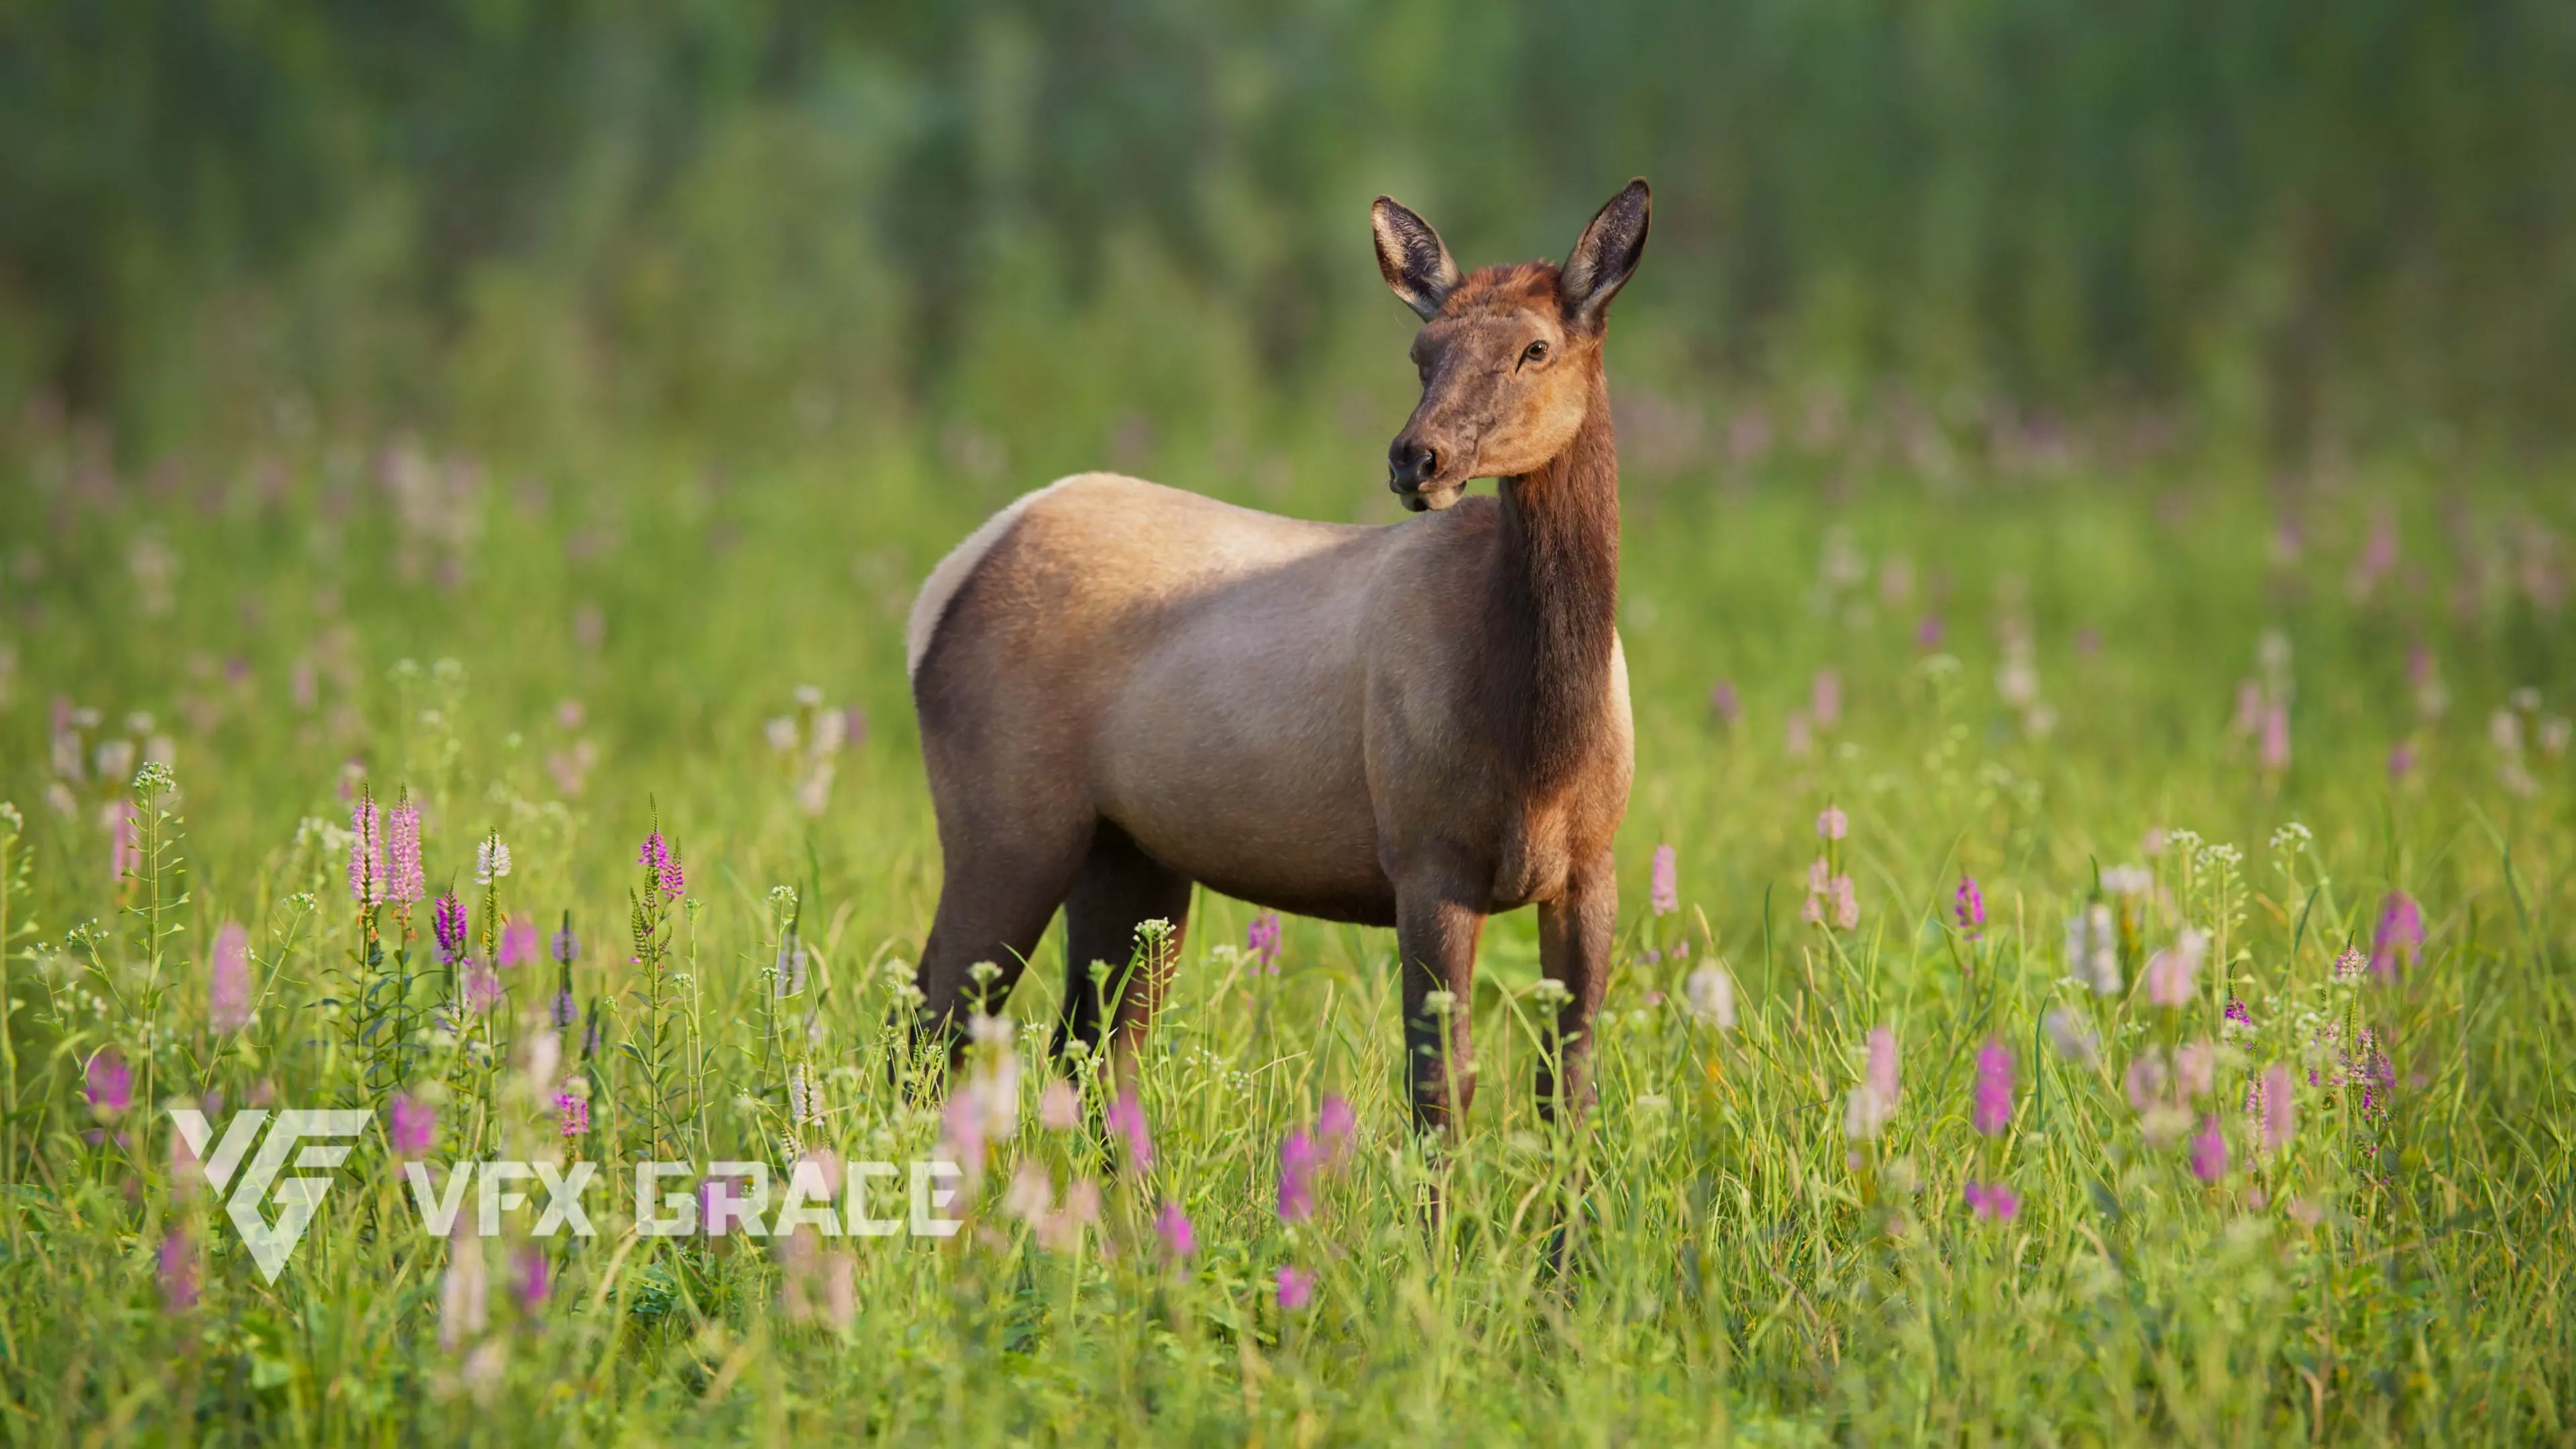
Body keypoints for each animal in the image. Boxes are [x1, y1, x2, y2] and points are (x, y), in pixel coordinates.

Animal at [904, 180, 1650, 1136]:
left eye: (1537, 348)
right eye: (1421, 353)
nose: (1418, 458)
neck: (1545, 738)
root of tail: (940, 591)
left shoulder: (1591, 870)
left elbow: (1570, 1089)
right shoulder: (1426, 857)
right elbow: (1440, 1085)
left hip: (1129, 856)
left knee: (1089, 1051)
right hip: (1004, 823)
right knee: (933, 1027)